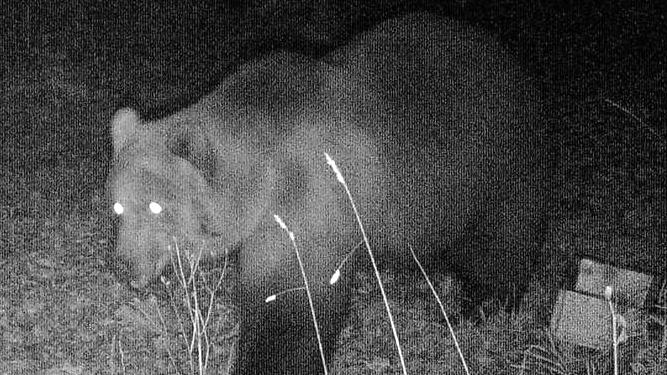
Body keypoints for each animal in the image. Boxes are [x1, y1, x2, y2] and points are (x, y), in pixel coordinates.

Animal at [108, 11, 548, 375]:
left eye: (155, 206)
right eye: (117, 208)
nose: (124, 266)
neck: (263, 177)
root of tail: (510, 58)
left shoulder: (313, 201)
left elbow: (295, 305)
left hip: (499, 164)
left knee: (503, 240)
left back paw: (482, 306)